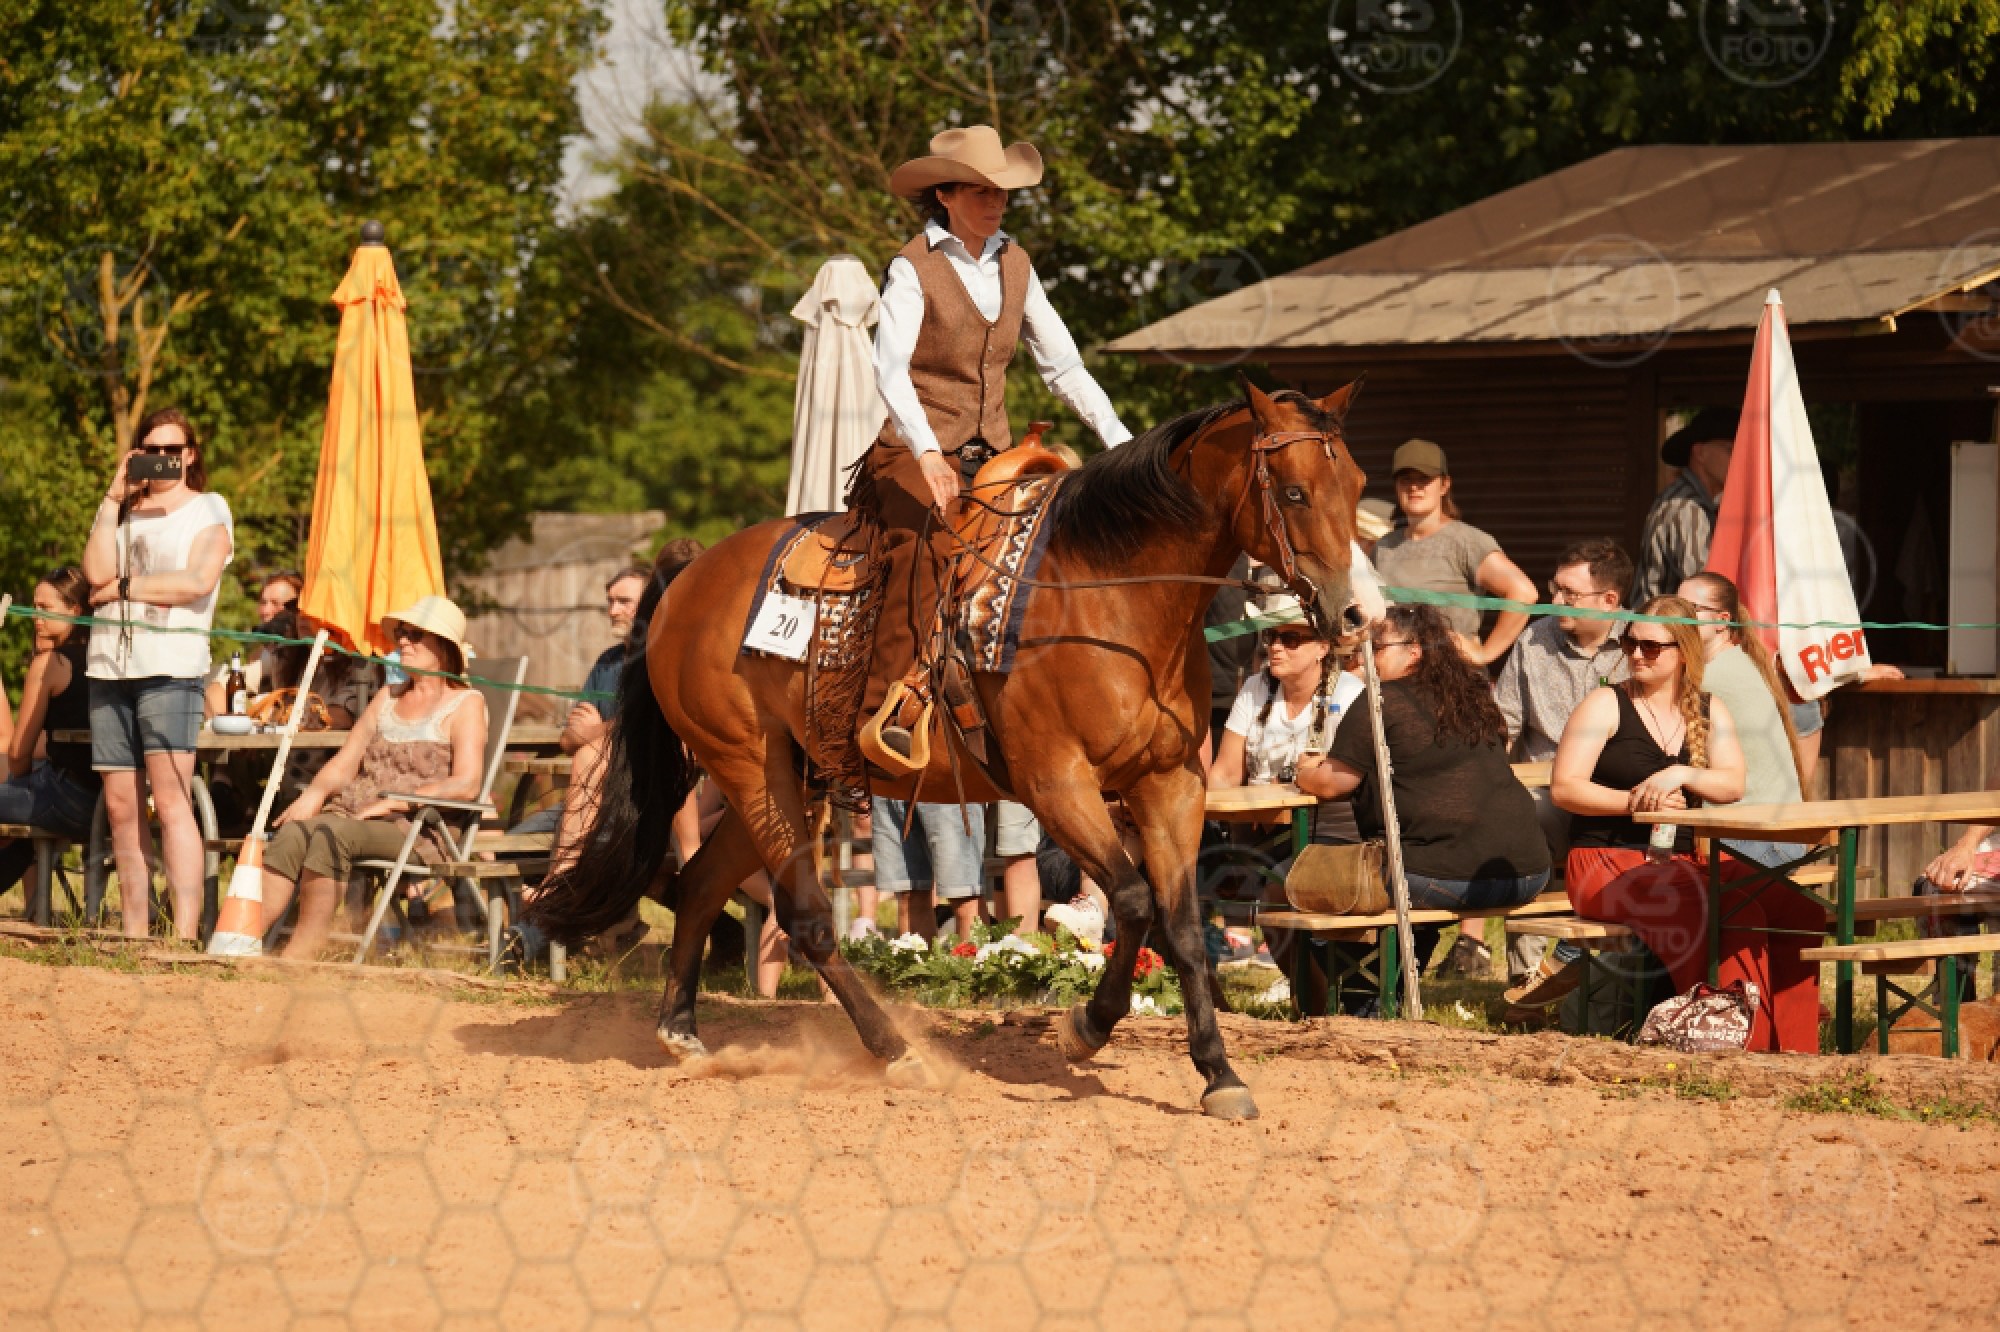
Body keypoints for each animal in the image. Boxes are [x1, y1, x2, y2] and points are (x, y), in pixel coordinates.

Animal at [530, 379, 1367, 1119]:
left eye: (1356, 485)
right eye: (1295, 492)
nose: (1356, 613)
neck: (1108, 592)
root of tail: (687, 581)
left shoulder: (1170, 786)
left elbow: (1183, 927)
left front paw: (1218, 1074)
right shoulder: (1057, 784)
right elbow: (1132, 903)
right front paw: (1084, 1029)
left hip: (786, 776)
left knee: (704, 882)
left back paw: (684, 1033)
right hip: (751, 768)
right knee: (806, 917)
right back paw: (894, 1050)